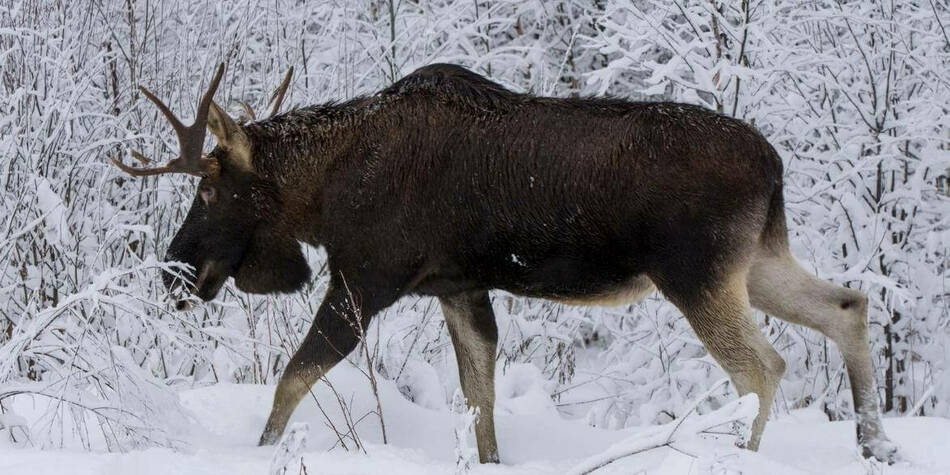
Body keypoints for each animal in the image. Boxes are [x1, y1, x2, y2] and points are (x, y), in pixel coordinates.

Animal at [111, 62, 900, 464]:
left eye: (209, 188)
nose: (174, 270)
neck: (324, 189)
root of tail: (775, 164)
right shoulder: (457, 286)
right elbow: (479, 395)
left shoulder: (365, 278)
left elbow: (292, 378)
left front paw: (259, 452)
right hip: (754, 261)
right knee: (848, 306)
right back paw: (874, 445)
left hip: (697, 273)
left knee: (763, 368)